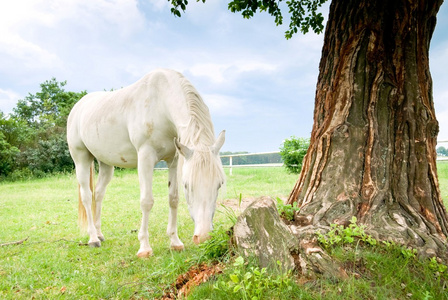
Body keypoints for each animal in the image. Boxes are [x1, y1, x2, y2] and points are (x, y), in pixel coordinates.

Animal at [66, 68, 226, 258]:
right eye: (187, 185)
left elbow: (173, 199)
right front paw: (144, 248)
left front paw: (175, 242)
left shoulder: (173, 160)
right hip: (81, 158)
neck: (160, 103)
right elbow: (146, 201)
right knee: (86, 195)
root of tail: (78, 106)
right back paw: (93, 239)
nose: (203, 236)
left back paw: (99, 233)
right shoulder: (145, 157)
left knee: (98, 194)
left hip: (105, 163)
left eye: (219, 184)